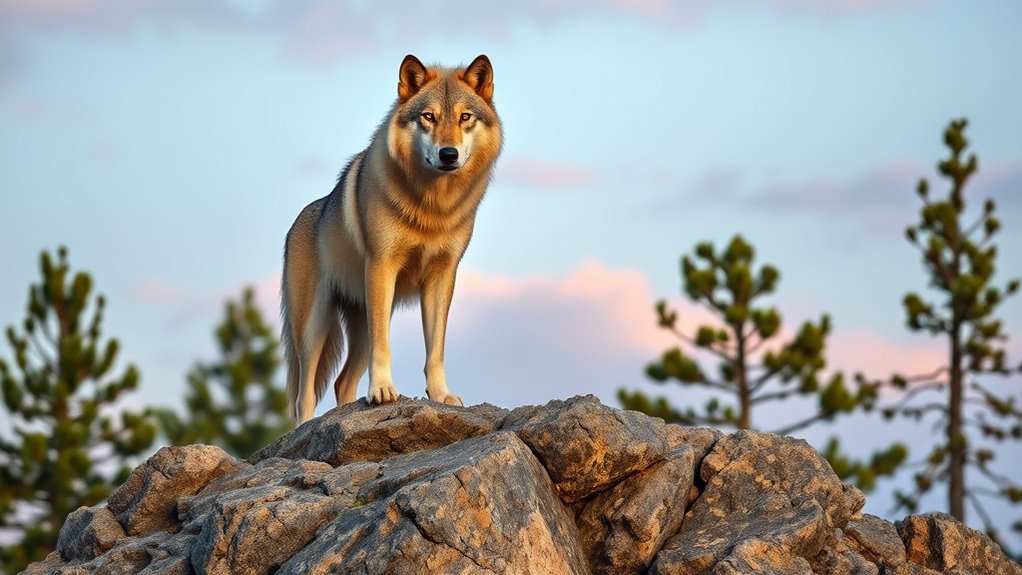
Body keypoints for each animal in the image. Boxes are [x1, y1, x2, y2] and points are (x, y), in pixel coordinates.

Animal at [281, 54, 503, 425]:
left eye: (464, 117)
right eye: (428, 117)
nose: (448, 154)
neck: (431, 208)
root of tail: (296, 222)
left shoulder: (443, 276)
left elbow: (436, 349)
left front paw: (441, 395)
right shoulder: (382, 267)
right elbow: (384, 349)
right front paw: (383, 391)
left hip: (360, 323)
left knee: (342, 383)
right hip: (316, 328)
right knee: (304, 395)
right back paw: (308, 426)